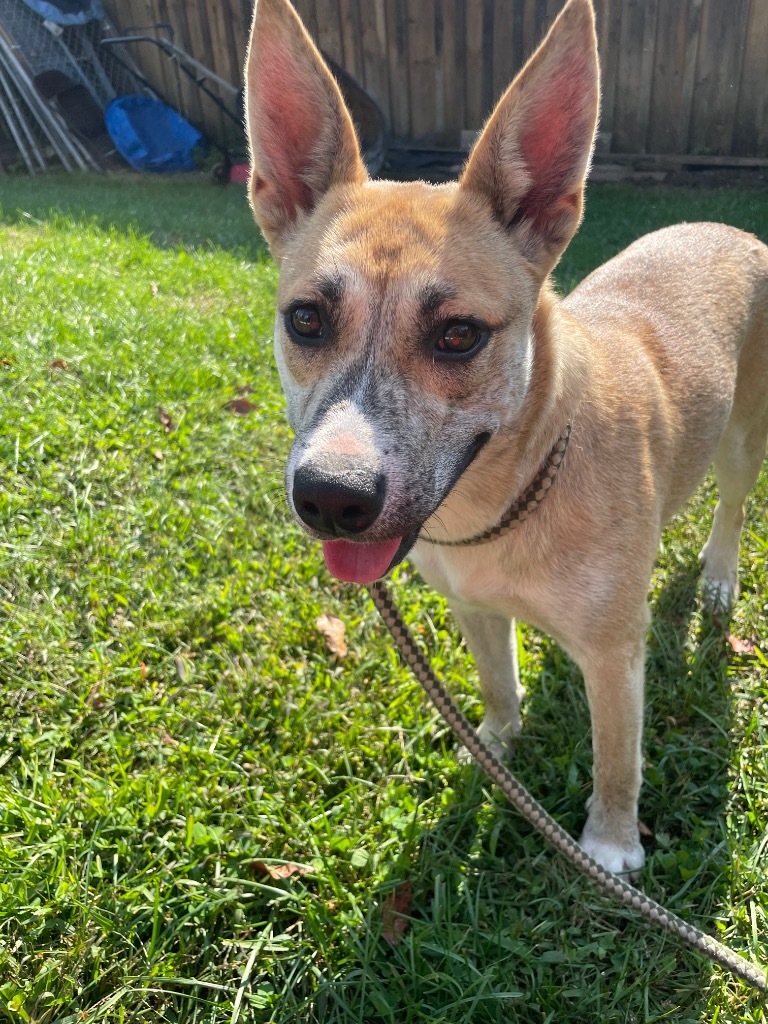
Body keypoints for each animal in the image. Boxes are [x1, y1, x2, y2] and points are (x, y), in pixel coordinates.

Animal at [243, 0, 768, 872]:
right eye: (306, 319)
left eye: (458, 335)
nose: (331, 500)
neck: (510, 497)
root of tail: (726, 224)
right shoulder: (474, 609)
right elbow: (496, 686)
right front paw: (492, 748)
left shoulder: (615, 658)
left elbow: (617, 759)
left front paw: (610, 846)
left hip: (743, 436)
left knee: (732, 508)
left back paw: (721, 576)